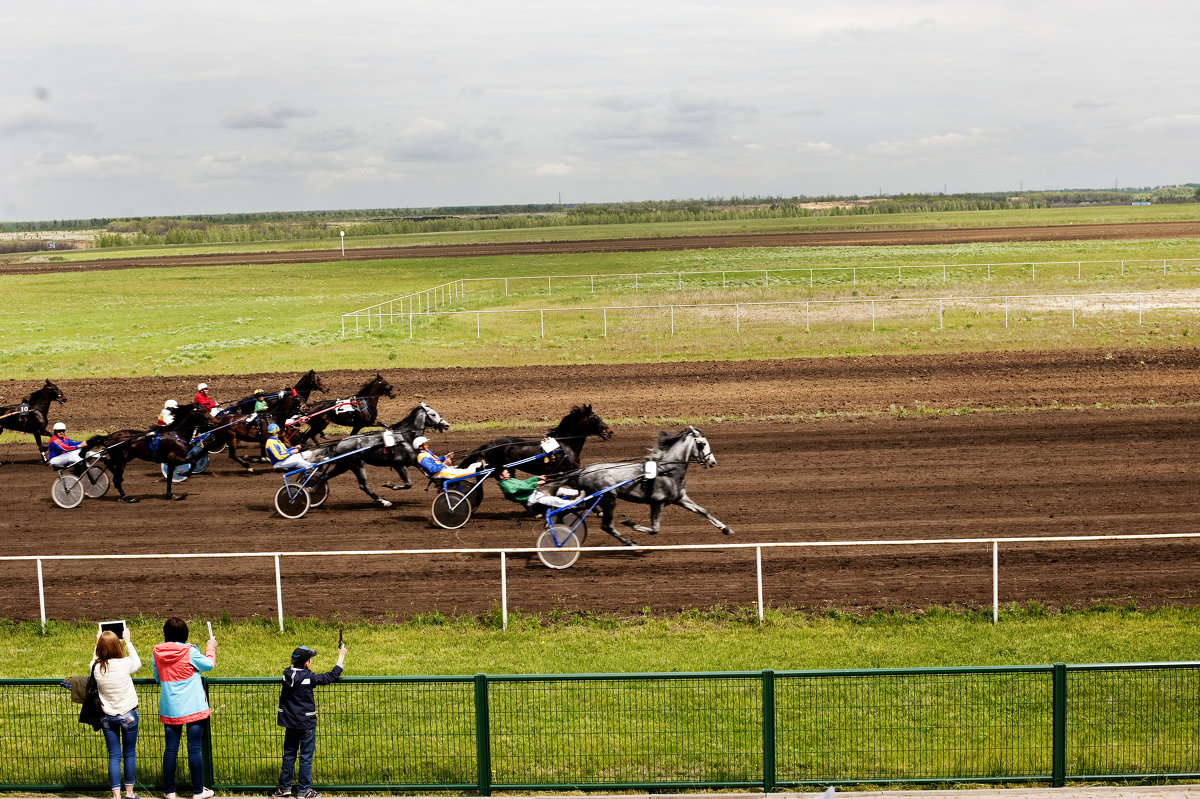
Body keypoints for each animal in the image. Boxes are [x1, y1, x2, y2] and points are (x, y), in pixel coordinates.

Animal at [302, 400, 451, 506]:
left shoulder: (414, 461)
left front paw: (442, 486)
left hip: (343, 465)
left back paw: (311, 491)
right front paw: (390, 485)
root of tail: (340, 442)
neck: (405, 437)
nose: (446, 425)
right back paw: (383, 501)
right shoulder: (399, 465)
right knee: (363, 485)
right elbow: (408, 484)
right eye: (433, 414)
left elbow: (430, 473)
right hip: (357, 464)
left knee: (325, 476)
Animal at [571, 427, 729, 544]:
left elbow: (703, 511)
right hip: (608, 498)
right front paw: (630, 523)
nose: (712, 462)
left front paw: (725, 528)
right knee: (607, 526)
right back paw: (630, 543)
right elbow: (654, 529)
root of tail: (583, 470)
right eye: (702, 444)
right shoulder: (657, 502)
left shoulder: (680, 499)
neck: (668, 470)